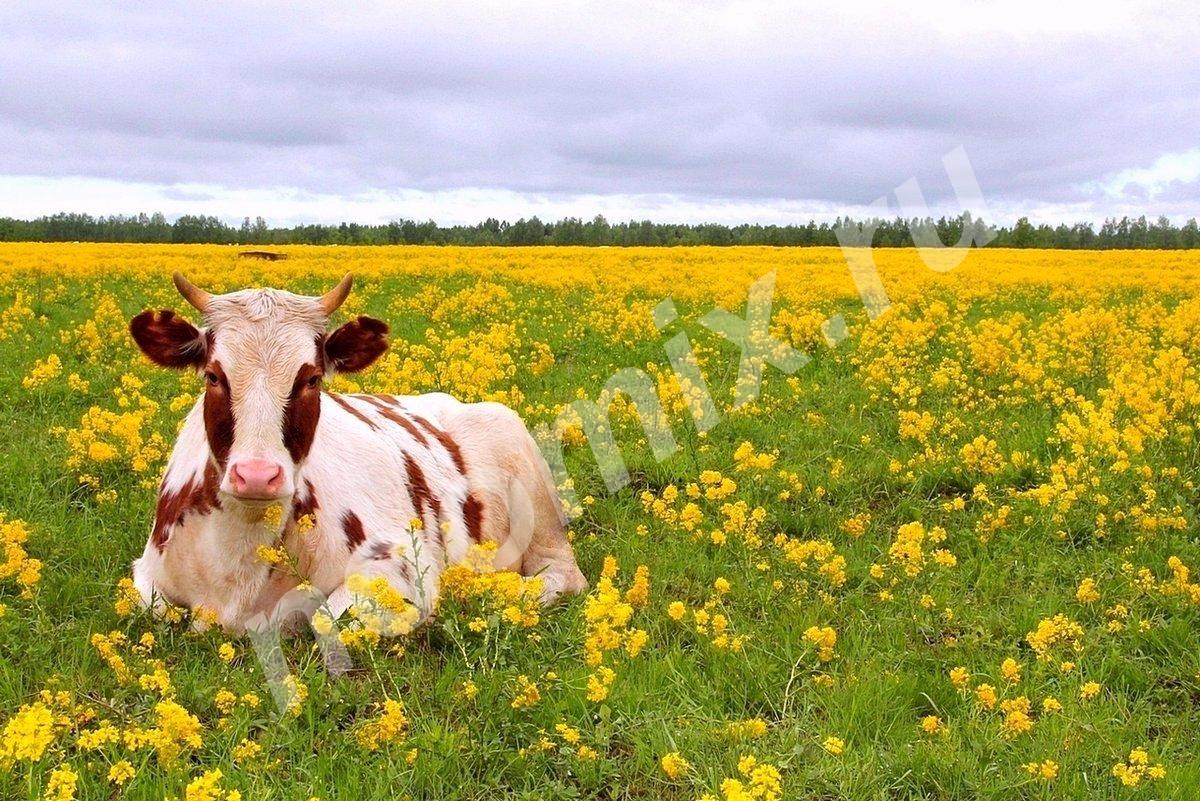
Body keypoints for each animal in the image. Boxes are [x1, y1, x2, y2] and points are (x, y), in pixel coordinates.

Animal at [126, 275, 585, 637]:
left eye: (312, 378)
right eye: (213, 375)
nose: (257, 475)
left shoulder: (398, 565)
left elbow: (329, 616)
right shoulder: (145, 571)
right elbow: (152, 604)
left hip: (532, 493)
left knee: (561, 575)